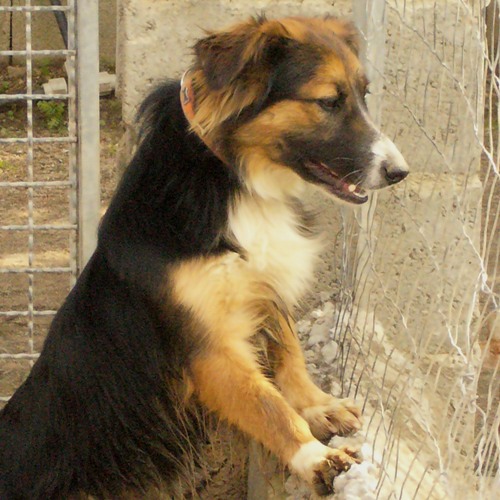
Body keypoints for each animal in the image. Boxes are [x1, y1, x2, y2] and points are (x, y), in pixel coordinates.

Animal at [0, 16, 408, 499]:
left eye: (364, 96)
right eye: (328, 101)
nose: (400, 172)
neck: (237, 179)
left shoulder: (266, 289)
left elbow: (290, 355)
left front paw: (317, 406)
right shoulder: (209, 345)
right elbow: (266, 404)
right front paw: (314, 456)